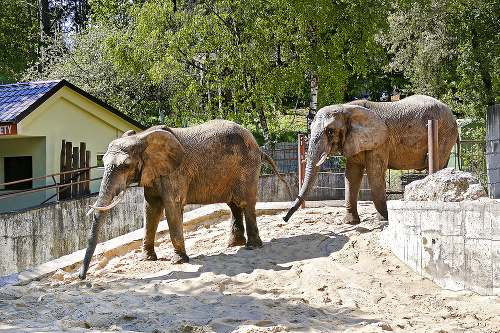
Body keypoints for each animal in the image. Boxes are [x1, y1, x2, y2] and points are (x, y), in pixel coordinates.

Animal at [80, 118, 288, 278]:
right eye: (102, 161)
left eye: (126, 166)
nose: (82, 278)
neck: (143, 137)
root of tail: (259, 148)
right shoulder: (152, 173)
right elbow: (151, 208)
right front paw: (147, 258)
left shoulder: (176, 172)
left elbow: (172, 206)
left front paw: (178, 261)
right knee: (233, 204)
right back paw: (232, 244)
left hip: (248, 166)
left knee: (245, 202)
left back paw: (252, 247)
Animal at [284, 93, 458, 223]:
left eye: (330, 131)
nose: (285, 218)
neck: (346, 108)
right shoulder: (355, 140)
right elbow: (352, 175)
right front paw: (350, 222)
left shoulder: (381, 141)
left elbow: (375, 173)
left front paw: (383, 220)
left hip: (444, 133)